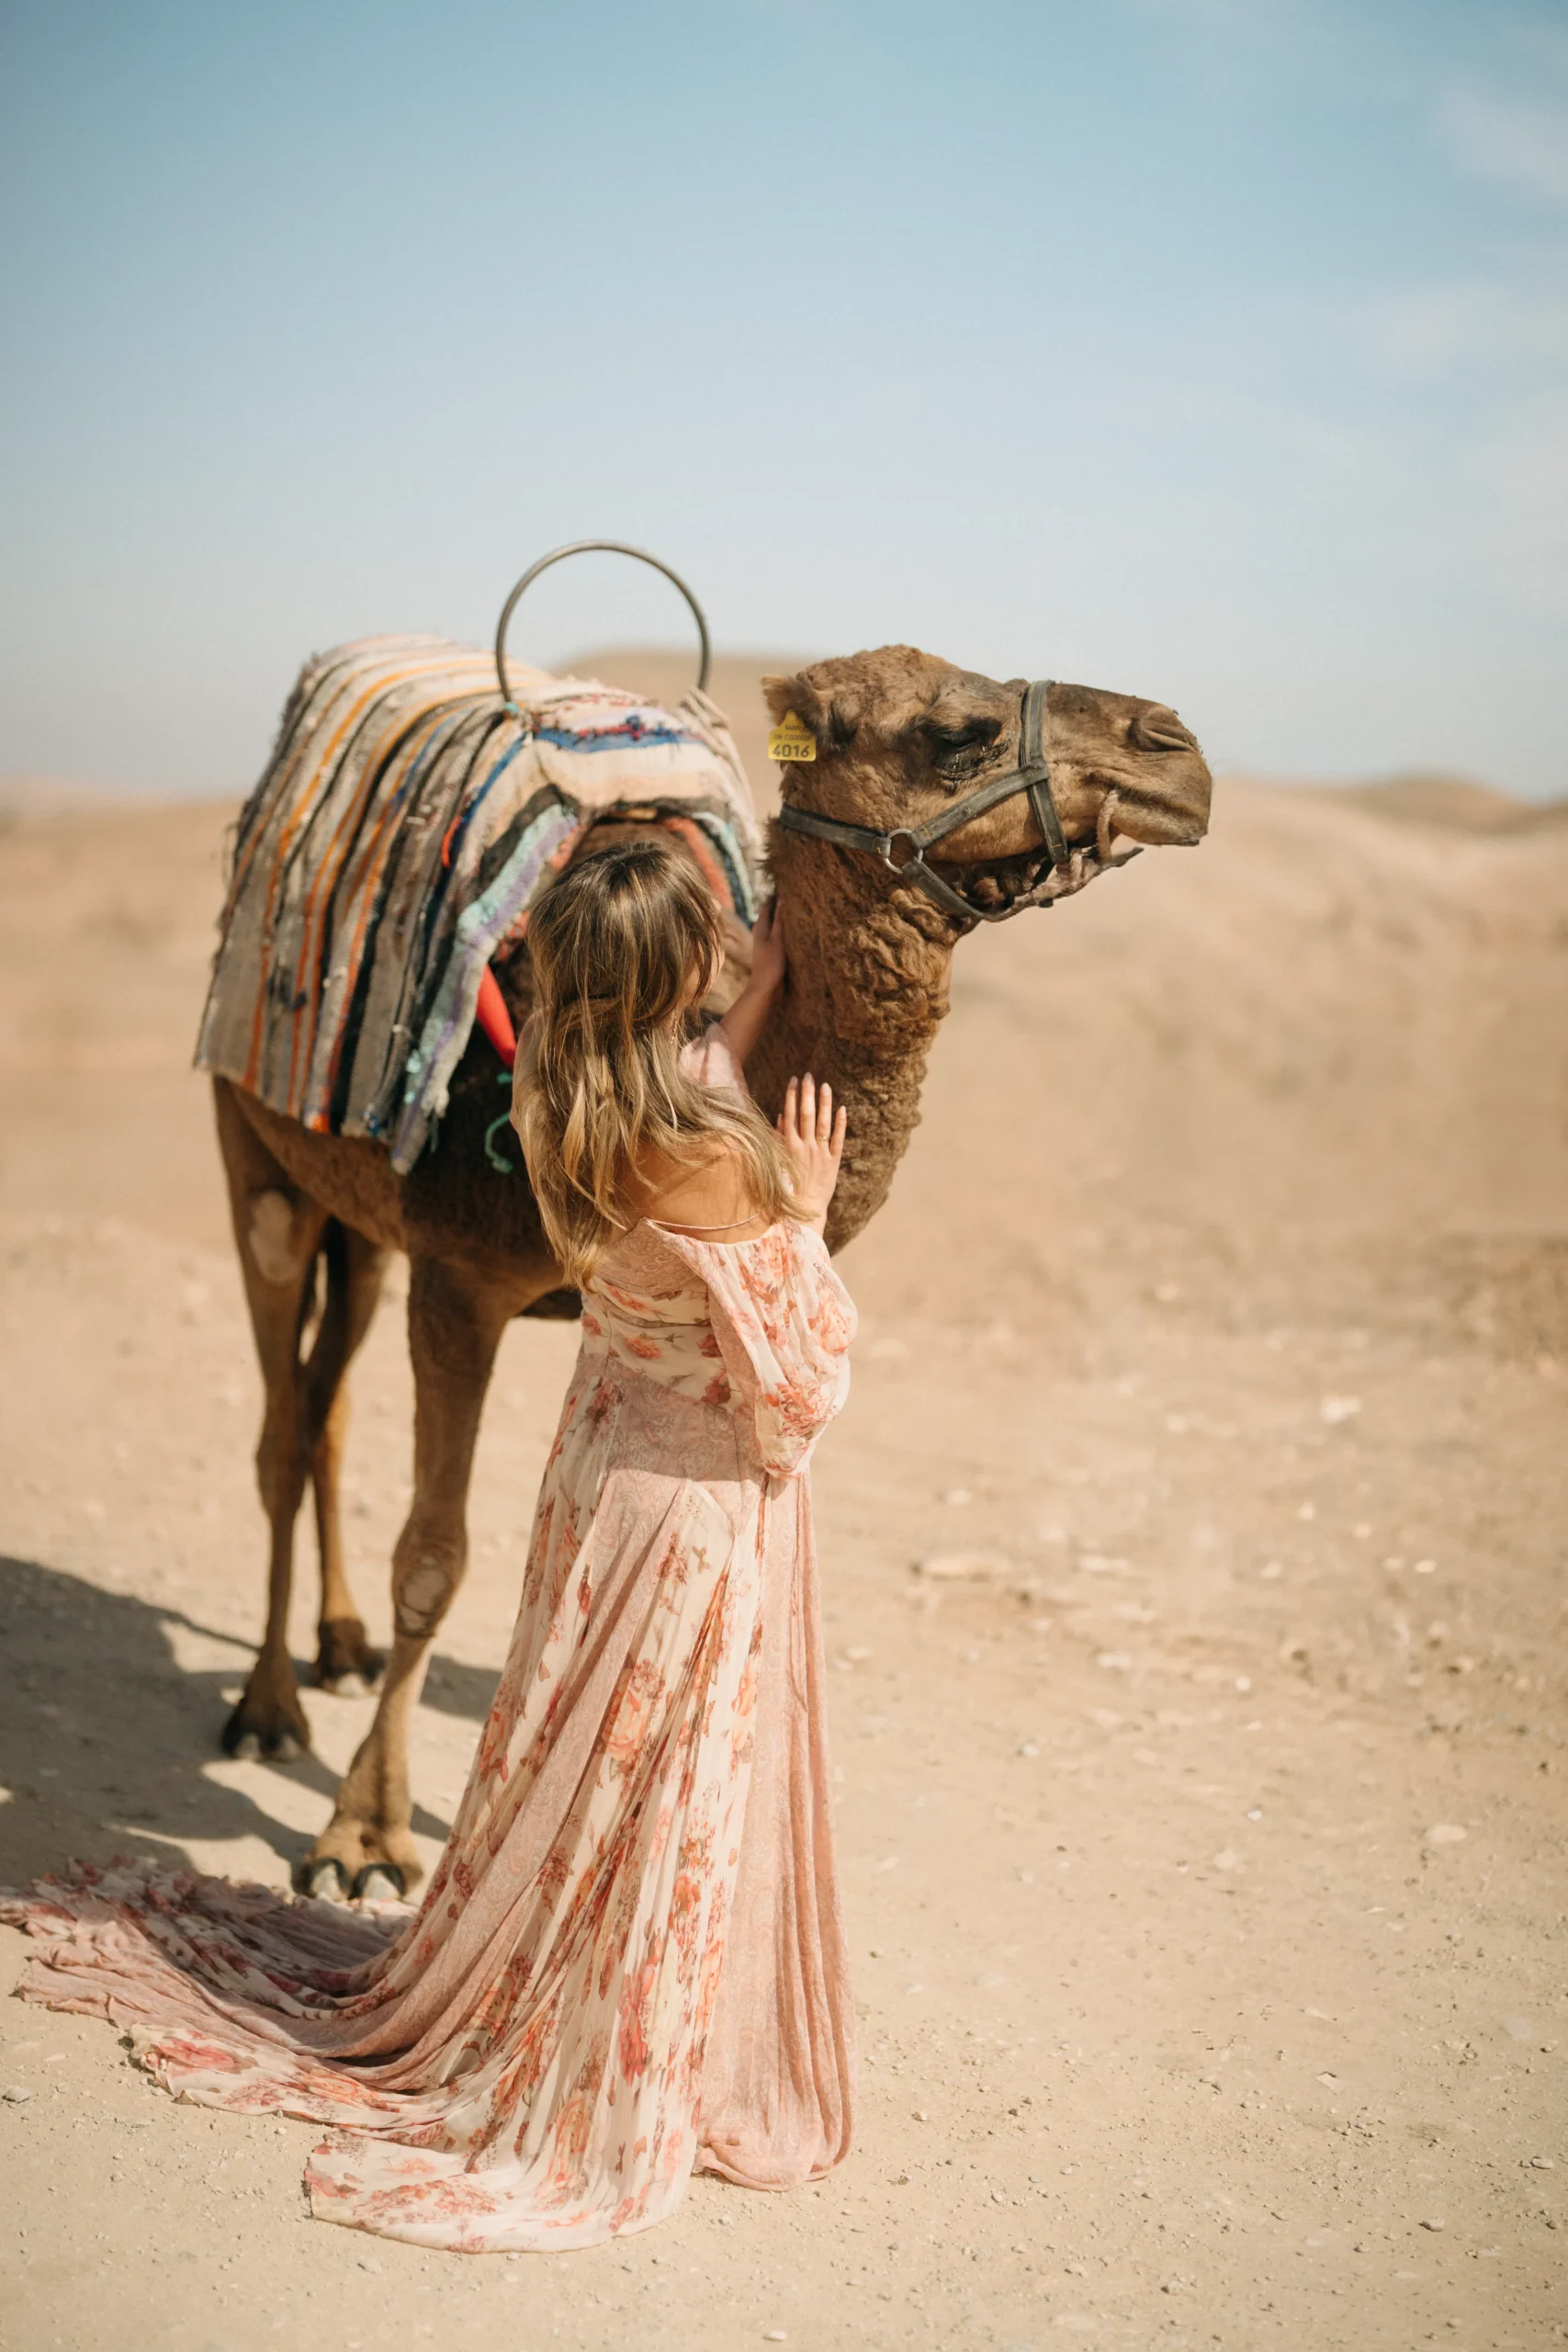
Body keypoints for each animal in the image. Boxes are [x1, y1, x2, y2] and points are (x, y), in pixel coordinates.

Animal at [212, 644, 1212, 1900]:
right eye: (958, 731)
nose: (1176, 749)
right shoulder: (458, 1275)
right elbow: (433, 1559)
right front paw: (363, 1839)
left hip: (363, 1221)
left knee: (326, 1398)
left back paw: (335, 1647)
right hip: (256, 1155)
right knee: (279, 1423)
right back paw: (264, 1708)